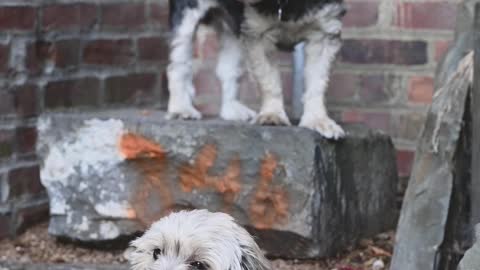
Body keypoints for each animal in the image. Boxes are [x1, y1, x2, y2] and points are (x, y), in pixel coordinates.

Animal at [167, 0, 346, 139]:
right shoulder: (257, 33)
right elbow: (269, 80)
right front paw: (272, 115)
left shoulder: (325, 32)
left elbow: (318, 84)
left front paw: (318, 120)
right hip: (187, 17)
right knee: (178, 65)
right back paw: (181, 109)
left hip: (235, 30)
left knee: (228, 69)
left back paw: (232, 110)